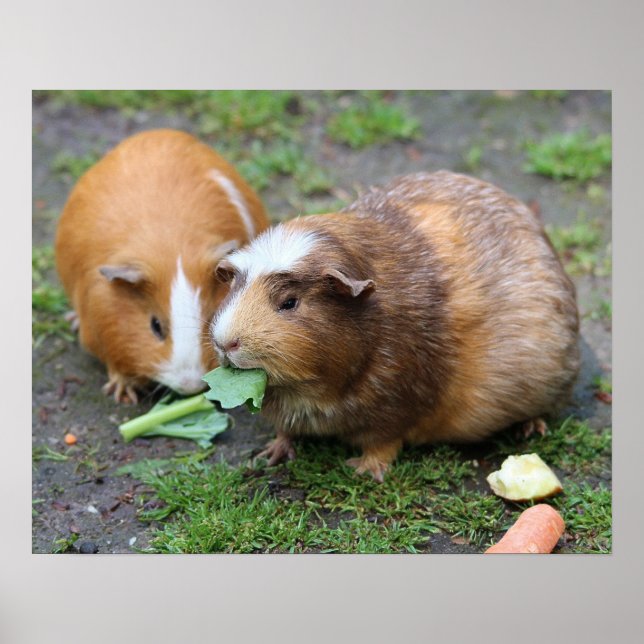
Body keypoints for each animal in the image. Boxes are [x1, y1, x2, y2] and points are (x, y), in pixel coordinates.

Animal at [55, 129, 269, 403]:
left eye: (210, 319)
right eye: (155, 326)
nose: (190, 386)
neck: (171, 250)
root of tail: (157, 133)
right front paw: (123, 393)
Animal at [210, 171, 580, 481]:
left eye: (289, 302)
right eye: (234, 288)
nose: (225, 343)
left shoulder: (393, 409)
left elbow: (383, 444)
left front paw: (362, 470)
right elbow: (285, 430)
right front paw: (269, 455)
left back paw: (531, 429)